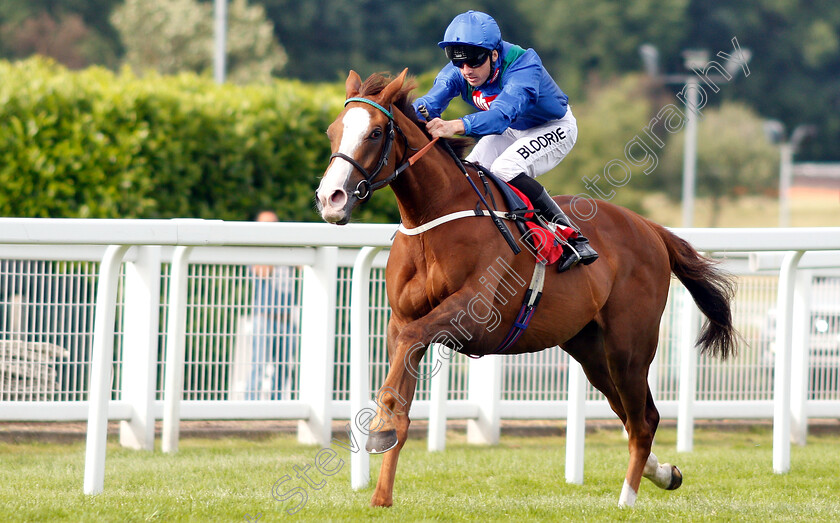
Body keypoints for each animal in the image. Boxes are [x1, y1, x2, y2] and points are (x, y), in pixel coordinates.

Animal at [316, 69, 736, 508]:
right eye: (333, 131)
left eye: (376, 132)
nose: (331, 198)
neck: (436, 217)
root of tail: (651, 228)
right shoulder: (400, 320)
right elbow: (402, 388)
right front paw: (381, 494)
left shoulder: (471, 312)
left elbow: (411, 349)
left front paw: (379, 431)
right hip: (590, 349)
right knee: (630, 413)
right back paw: (665, 473)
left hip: (629, 346)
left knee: (643, 420)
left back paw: (626, 500)